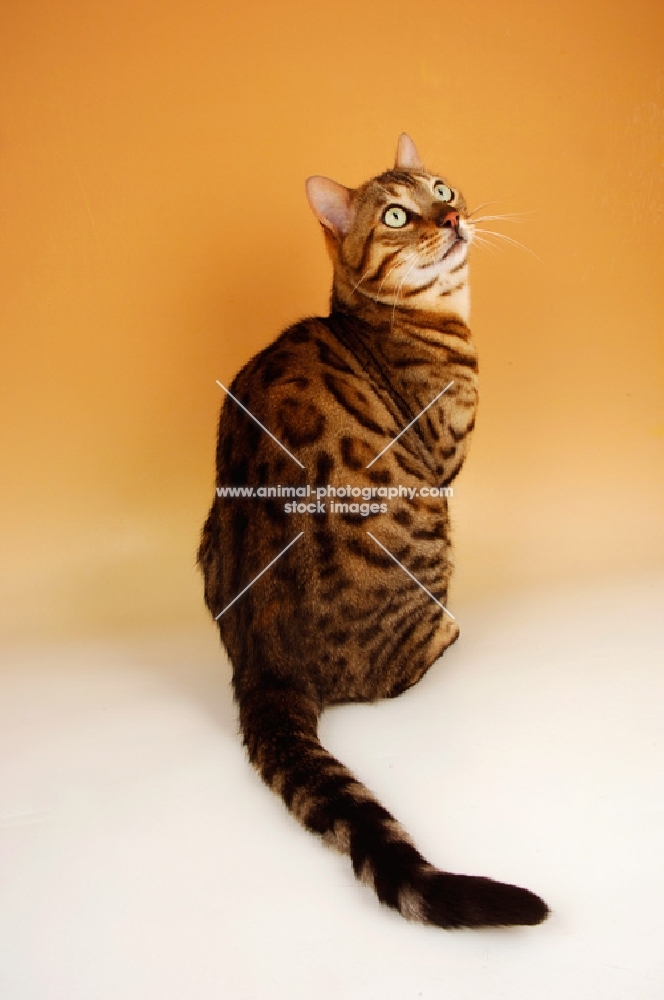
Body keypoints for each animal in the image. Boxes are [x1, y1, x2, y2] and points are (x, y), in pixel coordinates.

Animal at [198, 135, 548, 928]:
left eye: (441, 187)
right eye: (395, 214)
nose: (449, 216)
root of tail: (263, 665)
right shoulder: (444, 461)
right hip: (430, 527)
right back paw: (447, 632)